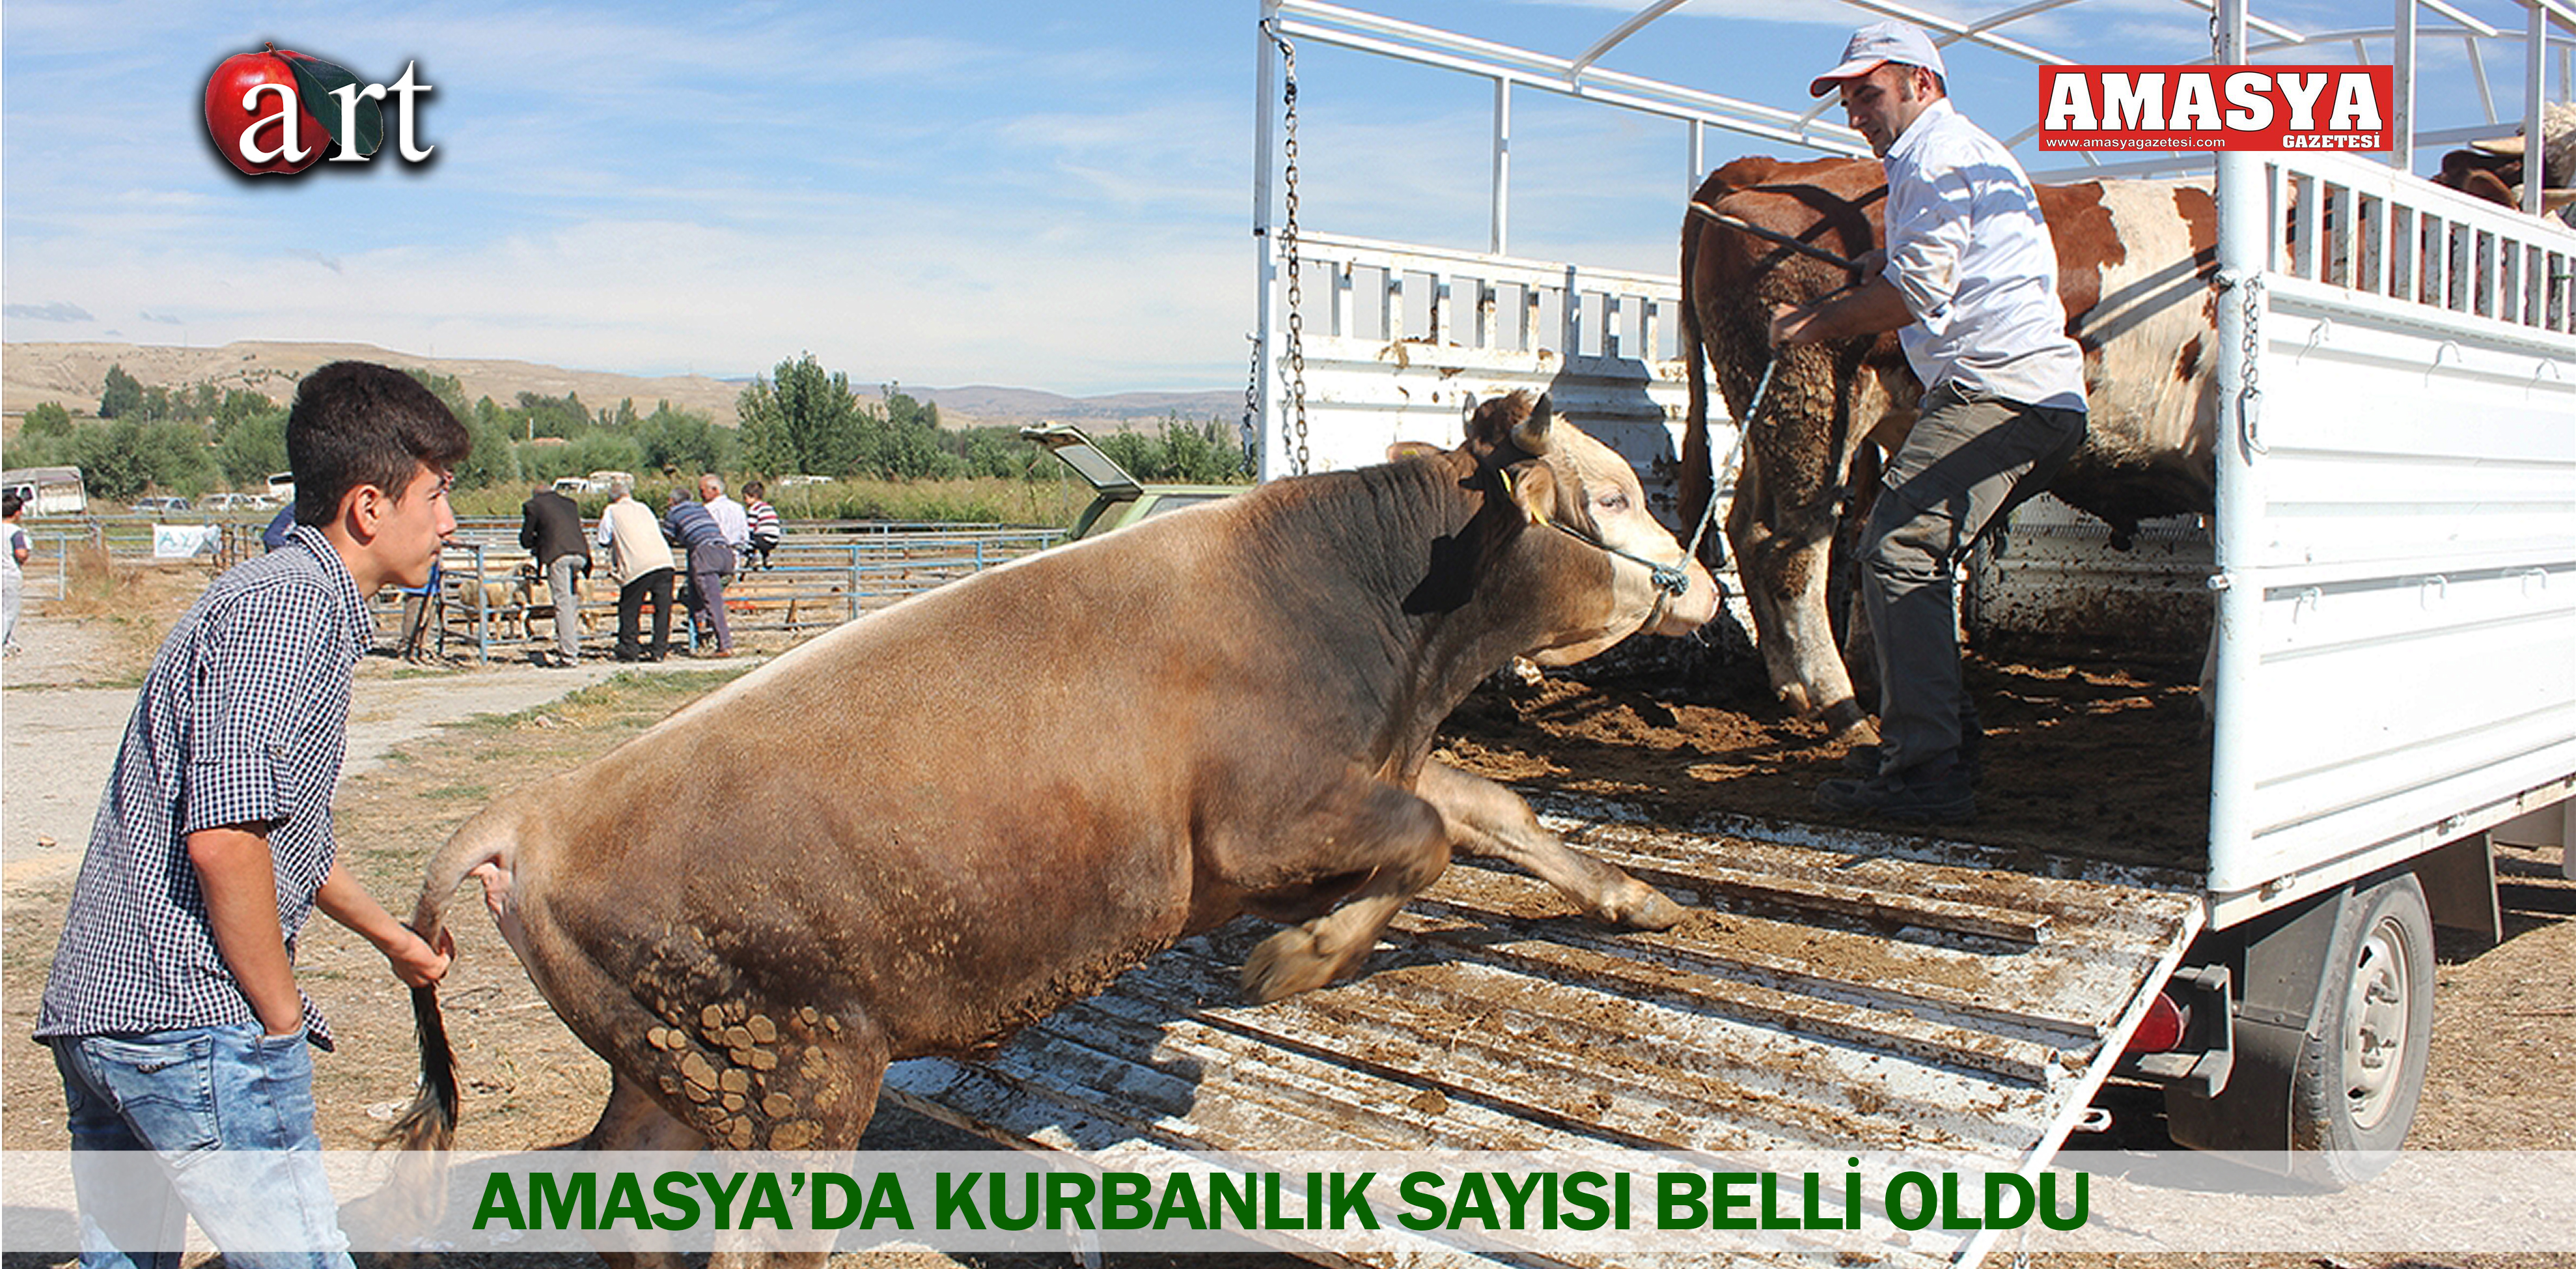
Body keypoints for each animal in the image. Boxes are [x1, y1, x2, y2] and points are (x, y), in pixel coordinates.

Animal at [386, 391, 1710, 1261]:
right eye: (1613, 494)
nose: (1695, 581)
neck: (1367, 602)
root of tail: (533, 812)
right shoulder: (1258, 830)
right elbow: (1426, 842)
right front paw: (1296, 960)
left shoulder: (1375, 770)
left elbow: (1485, 811)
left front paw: (1633, 898)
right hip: (800, 1081)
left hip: (681, 1074)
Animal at [1689, 156, 2215, 731]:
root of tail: (1772, 168)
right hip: (1811, 407)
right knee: (1791, 550)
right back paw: (1839, 703)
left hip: (1771, 412)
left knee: (1748, 527)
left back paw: (1796, 686)